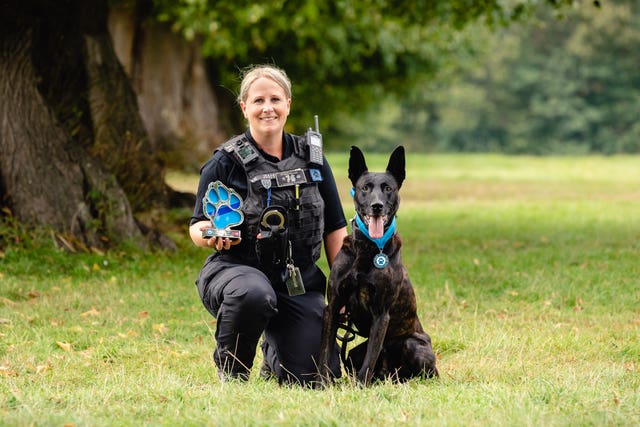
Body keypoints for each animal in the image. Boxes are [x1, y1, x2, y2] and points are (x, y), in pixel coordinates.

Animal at [318, 145, 438, 386]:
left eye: (388, 188)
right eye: (365, 188)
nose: (377, 206)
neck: (368, 248)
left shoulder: (381, 315)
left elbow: (370, 360)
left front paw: (359, 388)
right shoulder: (334, 307)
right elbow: (324, 353)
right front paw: (320, 385)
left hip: (414, 344)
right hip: (354, 353)